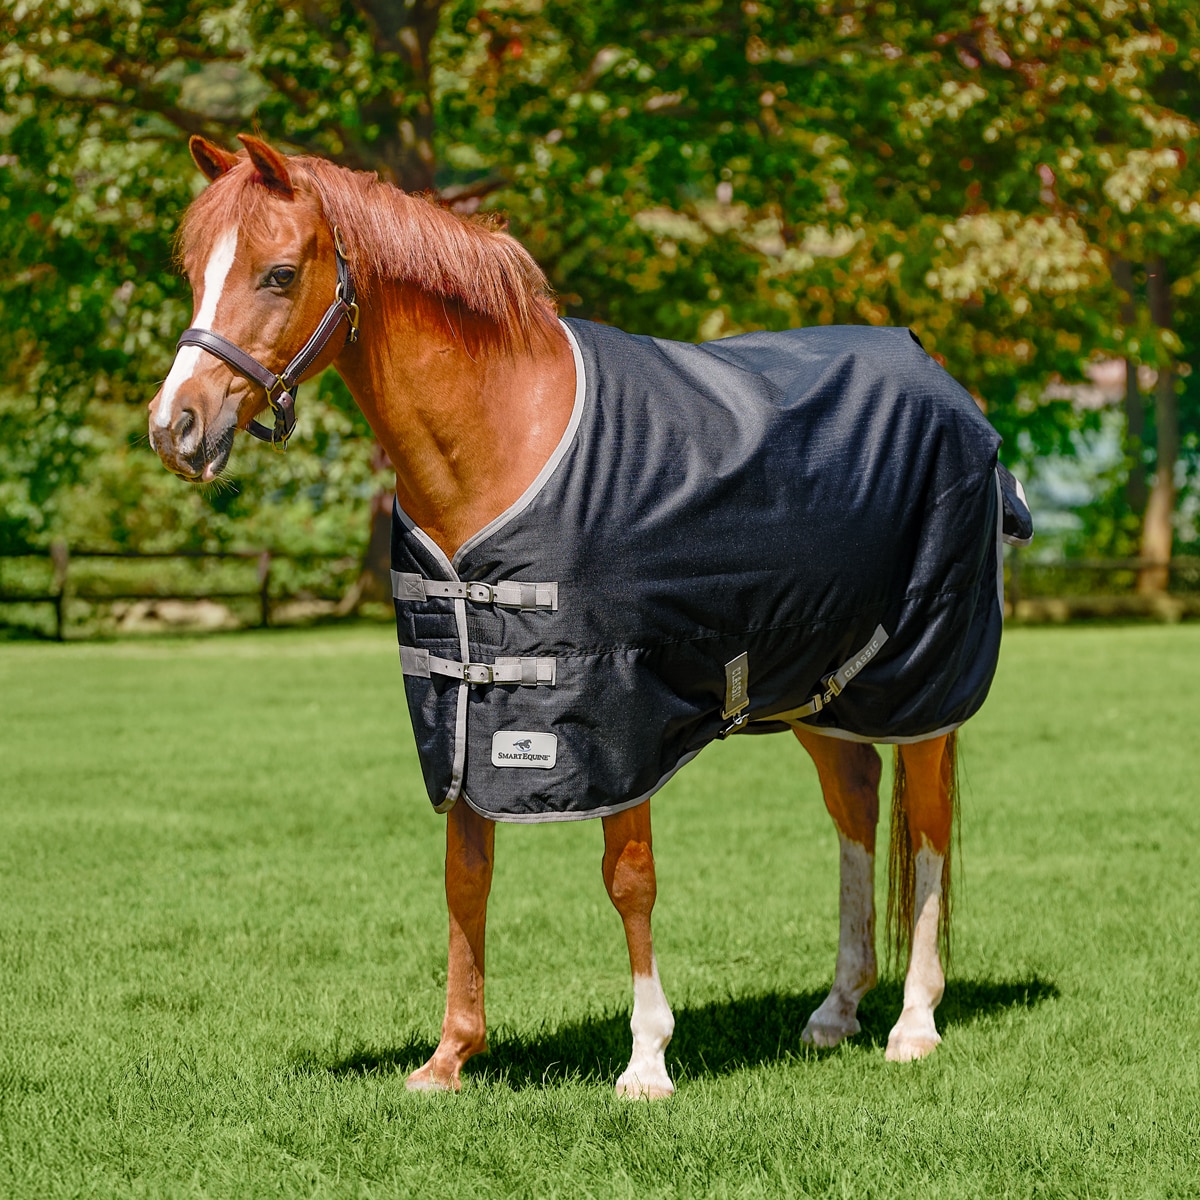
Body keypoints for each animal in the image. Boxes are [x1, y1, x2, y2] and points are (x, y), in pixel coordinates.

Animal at [149, 134, 1030, 1099]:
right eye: (193, 269)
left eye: (276, 273)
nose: (174, 426)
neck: (504, 439)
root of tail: (943, 383)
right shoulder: (463, 709)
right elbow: (466, 875)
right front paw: (449, 1057)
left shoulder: (618, 715)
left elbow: (629, 878)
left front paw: (646, 1059)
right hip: (821, 687)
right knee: (856, 807)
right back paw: (837, 1011)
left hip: (924, 685)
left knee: (928, 827)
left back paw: (913, 1021)